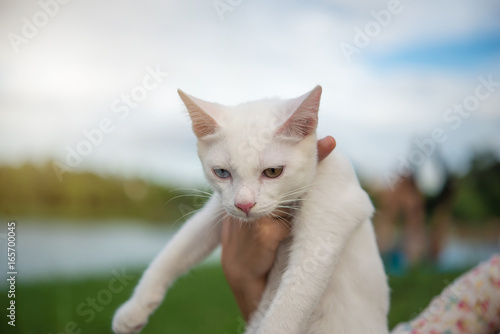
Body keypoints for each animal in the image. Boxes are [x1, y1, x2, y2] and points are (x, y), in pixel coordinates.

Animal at [111, 86, 388, 334]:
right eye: (222, 172)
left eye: (273, 171)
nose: (244, 205)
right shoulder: (220, 209)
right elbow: (177, 248)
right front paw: (133, 309)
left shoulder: (329, 218)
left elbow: (291, 303)